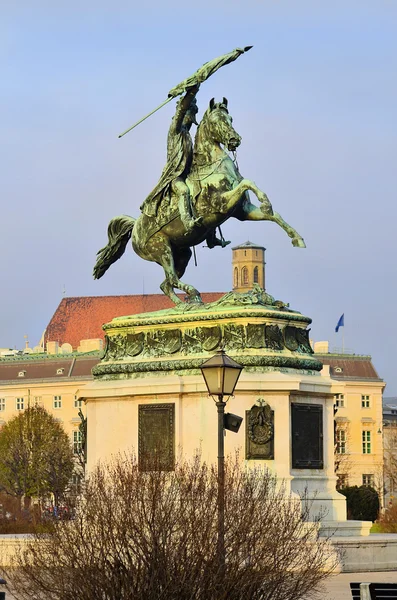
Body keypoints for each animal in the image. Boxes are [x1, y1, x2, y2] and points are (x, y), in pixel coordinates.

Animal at [93, 100, 304, 304]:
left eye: (231, 119)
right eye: (216, 121)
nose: (234, 140)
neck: (212, 166)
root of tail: (135, 227)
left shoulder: (242, 211)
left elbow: (273, 214)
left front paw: (296, 237)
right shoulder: (222, 204)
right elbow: (247, 183)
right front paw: (266, 203)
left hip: (181, 254)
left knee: (166, 284)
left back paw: (184, 304)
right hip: (161, 249)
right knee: (171, 279)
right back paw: (193, 295)